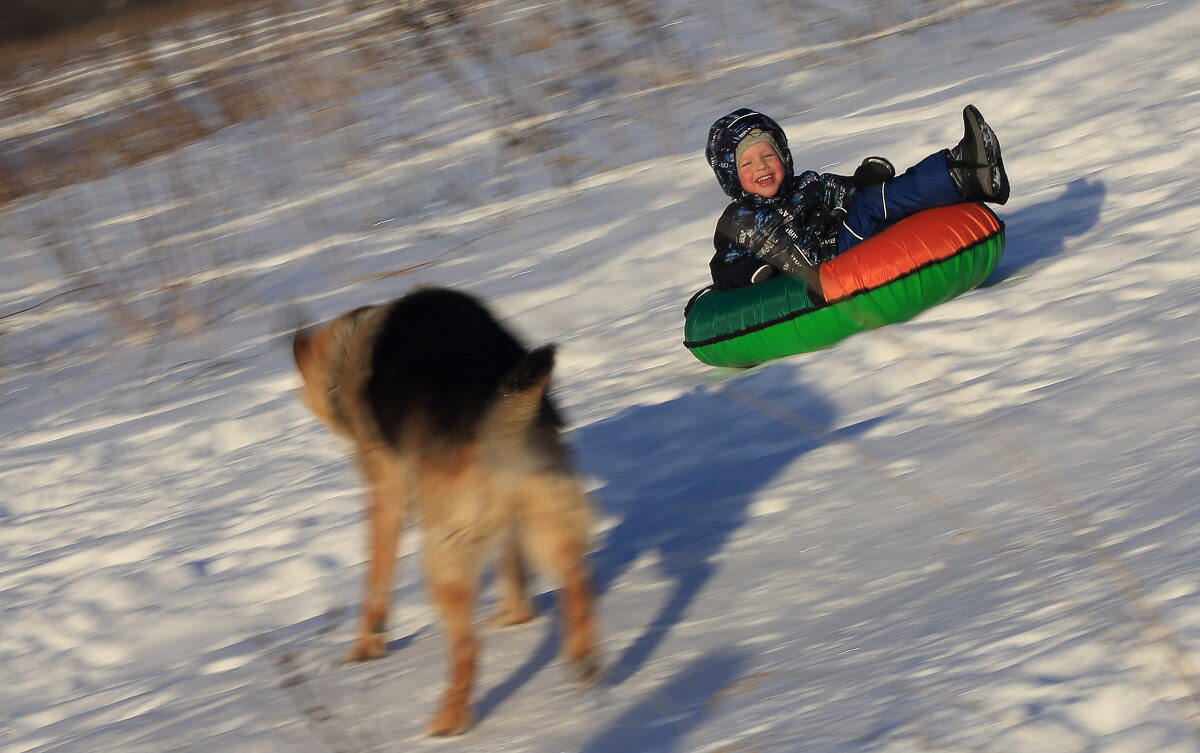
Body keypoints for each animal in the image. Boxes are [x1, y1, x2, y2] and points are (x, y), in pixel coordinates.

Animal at [291, 287, 600, 733]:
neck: (350, 345)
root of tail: (491, 432)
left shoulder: (387, 496)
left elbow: (375, 582)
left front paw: (366, 646)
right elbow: (514, 579)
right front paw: (513, 616)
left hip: (443, 557)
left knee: (467, 645)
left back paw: (449, 719)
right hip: (544, 520)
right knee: (576, 581)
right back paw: (583, 658)